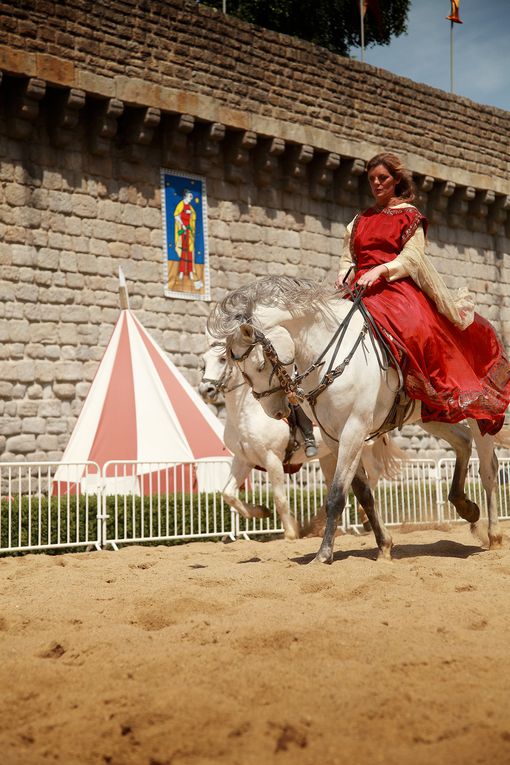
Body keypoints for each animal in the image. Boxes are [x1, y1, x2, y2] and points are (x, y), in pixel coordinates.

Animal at [197, 338, 404, 540]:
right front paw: (262, 512)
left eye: (222, 359)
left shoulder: (272, 459)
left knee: (374, 471)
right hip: (330, 454)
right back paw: (319, 523)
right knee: (334, 483)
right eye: (203, 362)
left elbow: (279, 498)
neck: (245, 412)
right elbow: (228, 493)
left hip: (362, 444)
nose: (205, 390)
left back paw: (361, 515)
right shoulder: (244, 459)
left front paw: (291, 531)